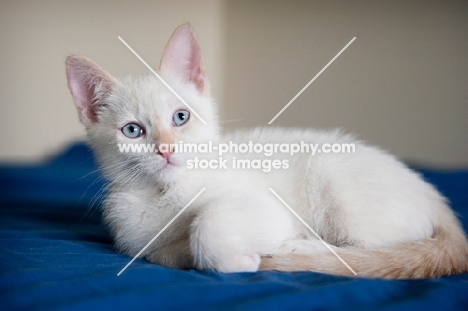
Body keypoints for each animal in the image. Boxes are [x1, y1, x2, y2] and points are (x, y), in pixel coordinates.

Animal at [66, 23, 468, 280]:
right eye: (133, 131)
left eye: (181, 117)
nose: (166, 149)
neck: (164, 194)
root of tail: (434, 197)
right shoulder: (133, 239)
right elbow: (157, 251)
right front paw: (187, 252)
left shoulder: (267, 208)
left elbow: (207, 225)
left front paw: (237, 260)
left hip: (339, 184)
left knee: (364, 250)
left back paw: (298, 248)